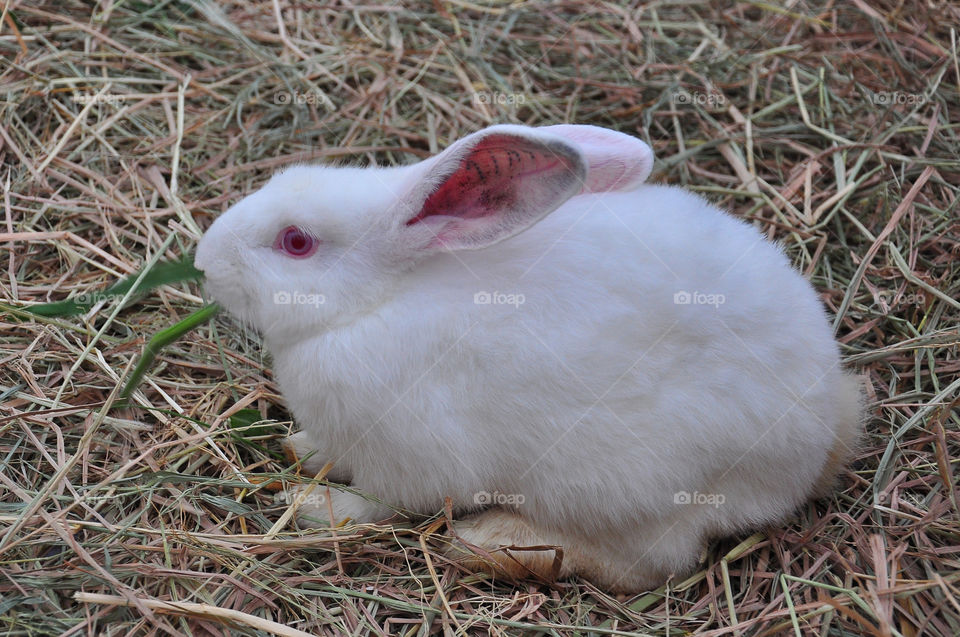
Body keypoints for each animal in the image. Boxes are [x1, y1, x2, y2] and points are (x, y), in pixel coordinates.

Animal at [194, 123, 862, 592]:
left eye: (296, 242)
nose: (202, 260)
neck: (377, 301)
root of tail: (827, 434)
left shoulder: (412, 460)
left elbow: (380, 505)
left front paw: (312, 507)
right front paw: (300, 451)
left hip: (630, 486)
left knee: (651, 563)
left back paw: (494, 544)